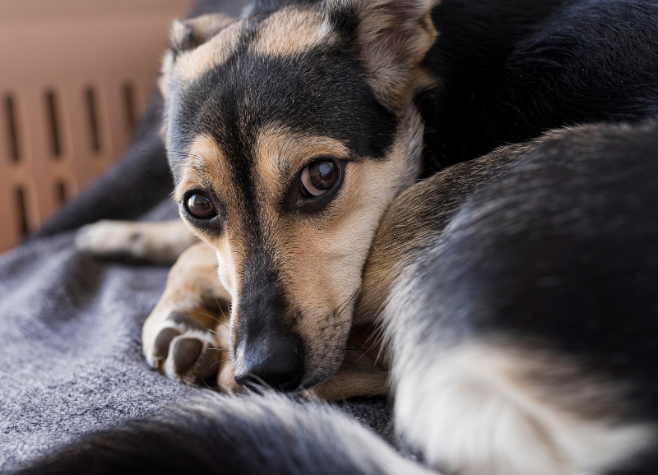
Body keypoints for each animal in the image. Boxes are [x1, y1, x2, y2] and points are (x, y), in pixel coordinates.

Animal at [29, 0, 656, 474]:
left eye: (322, 176)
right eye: (198, 204)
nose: (265, 369)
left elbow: (196, 261)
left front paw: (176, 313)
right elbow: (195, 250)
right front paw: (121, 235)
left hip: (445, 199)